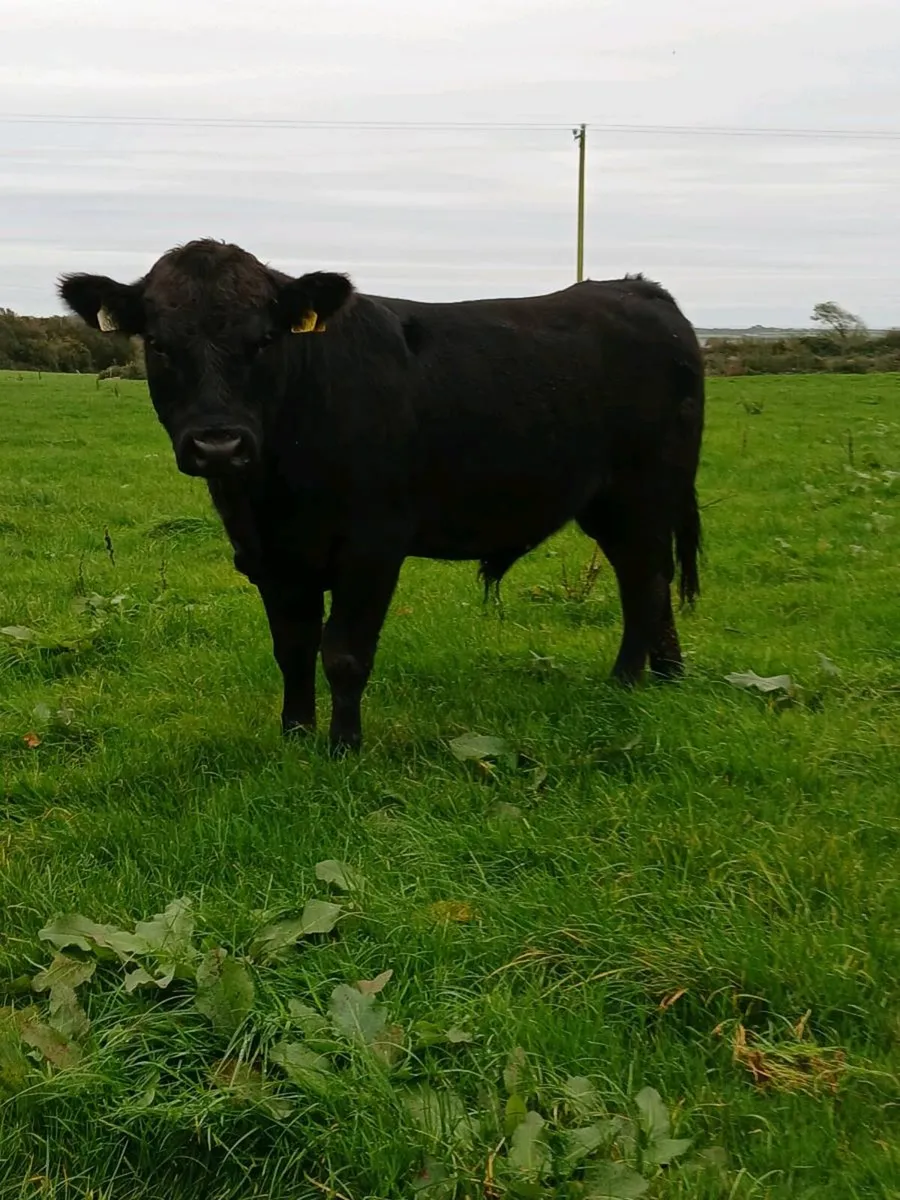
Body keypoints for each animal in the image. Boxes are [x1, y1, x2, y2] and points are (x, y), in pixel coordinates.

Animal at [59, 239, 704, 754]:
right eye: (159, 344)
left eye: (264, 339)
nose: (218, 445)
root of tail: (638, 289)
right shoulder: (271, 558)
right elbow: (293, 649)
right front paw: (296, 737)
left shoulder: (373, 546)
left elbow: (344, 653)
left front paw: (344, 748)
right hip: (615, 504)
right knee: (650, 578)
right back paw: (668, 676)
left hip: (643, 492)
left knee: (645, 581)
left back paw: (627, 681)